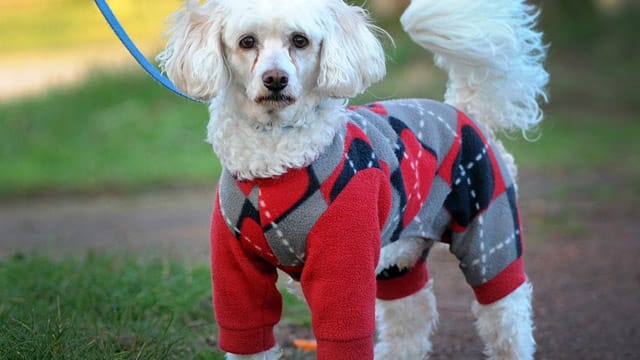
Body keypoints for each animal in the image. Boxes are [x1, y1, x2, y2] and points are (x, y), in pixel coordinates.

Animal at [158, 0, 548, 358]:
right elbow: (248, 335)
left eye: (299, 40)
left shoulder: (345, 263)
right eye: (247, 41)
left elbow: (344, 335)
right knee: (411, 315)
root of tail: (463, 110)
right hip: (400, 255)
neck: (274, 160)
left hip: (489, 232)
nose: (275, 79)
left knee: (507, 315)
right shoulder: (236, 269)